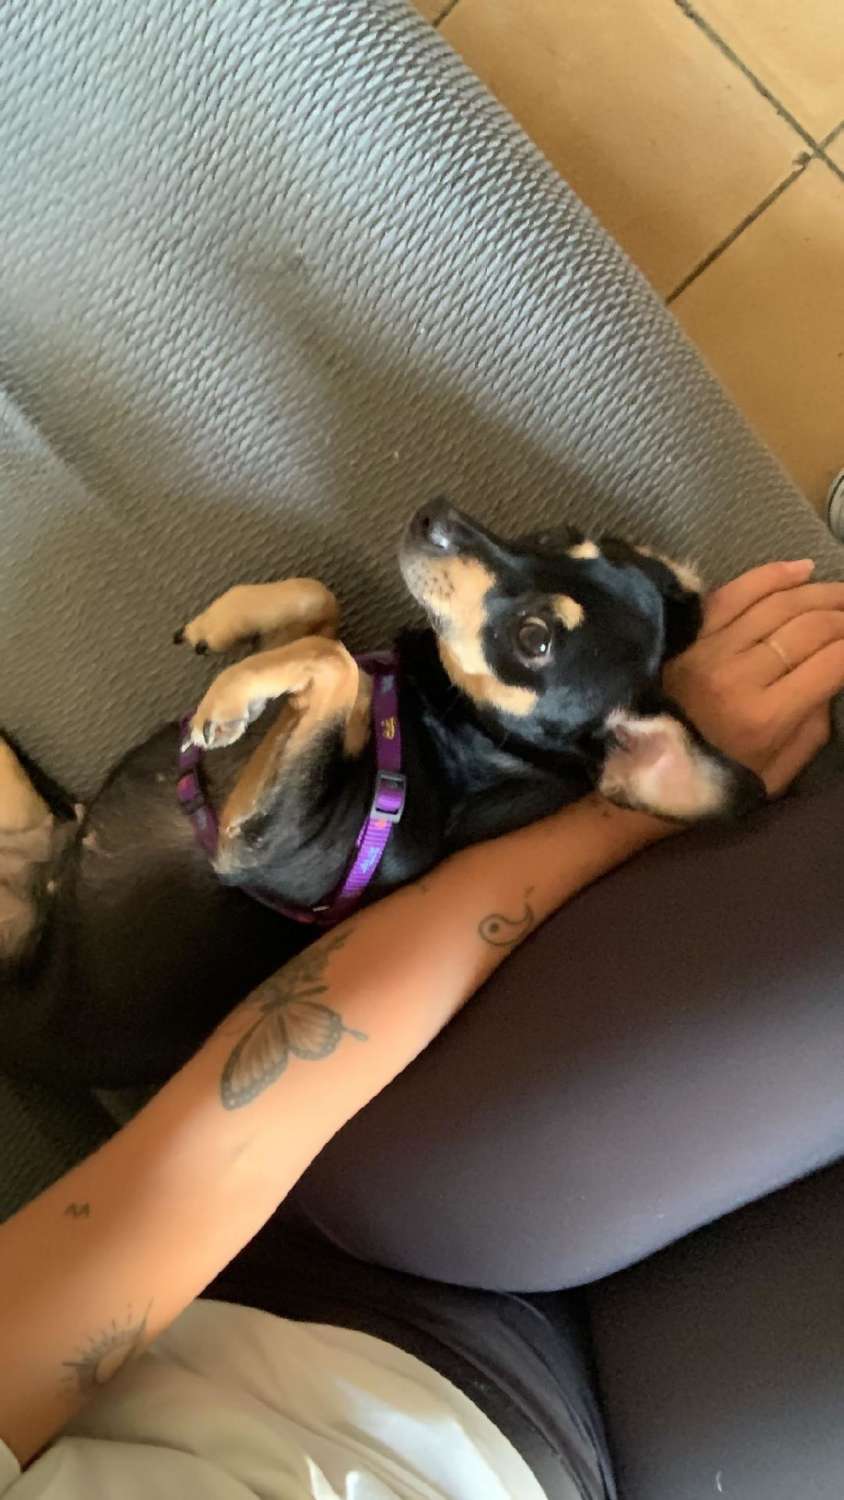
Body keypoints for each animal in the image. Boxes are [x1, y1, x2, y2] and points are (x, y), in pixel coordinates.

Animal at [0, 500, 765, 1088]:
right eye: (558, 538)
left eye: (535, 638)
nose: (437, 515)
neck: (442, 724)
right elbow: (319, 602)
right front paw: (228, 626)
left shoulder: (253, 842)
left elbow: (333, 661)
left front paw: (227, 696)